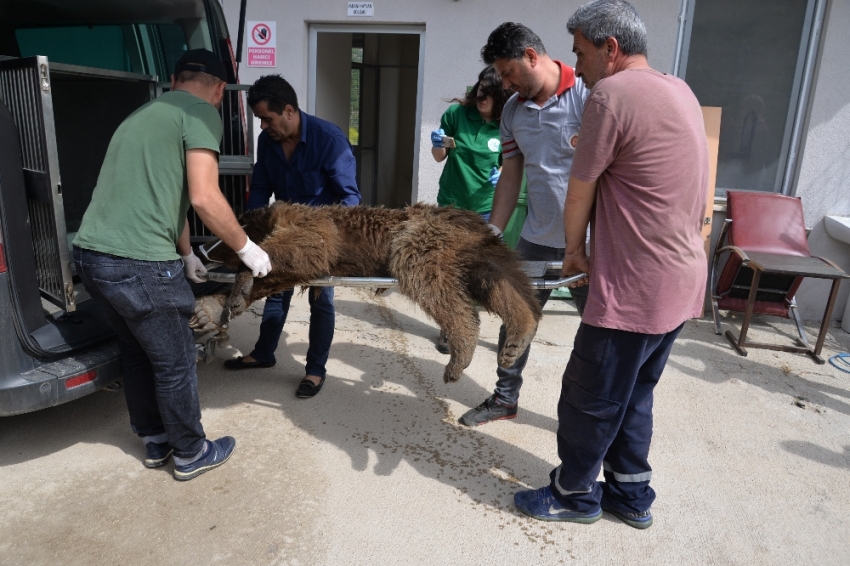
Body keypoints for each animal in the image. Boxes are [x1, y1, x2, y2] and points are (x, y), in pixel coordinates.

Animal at [202, 202, 540, 384]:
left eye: (220, 235)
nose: (205, 249)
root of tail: (468, 221)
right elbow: (284, 271)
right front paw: (228, 300)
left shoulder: (314, 227)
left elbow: (304, 247)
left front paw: (242, 278)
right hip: (477, 254)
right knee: (501, 282)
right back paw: (518, 335)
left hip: (420, 240)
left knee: (432, 284)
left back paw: (461, 351)